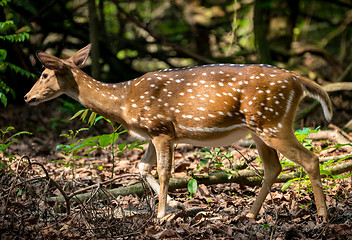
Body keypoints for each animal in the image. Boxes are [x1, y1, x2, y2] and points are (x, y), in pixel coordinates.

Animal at [25, 44, 332, 220]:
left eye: (44, 74)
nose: (27, 98)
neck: (124, 101)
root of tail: (298, 80)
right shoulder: (152, 133)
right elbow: (142, 167)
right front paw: (174, 204)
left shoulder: (161, 129)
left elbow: (164, 171)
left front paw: (161, 214)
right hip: (261, 126)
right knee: (273, 167)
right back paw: (248, 215)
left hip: (272, 122)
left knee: (310, 159)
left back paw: (322, 217)